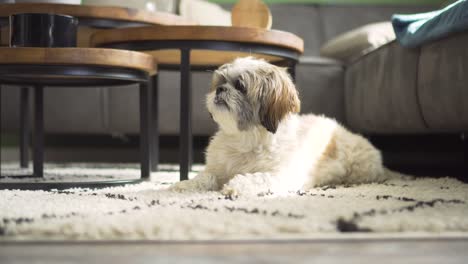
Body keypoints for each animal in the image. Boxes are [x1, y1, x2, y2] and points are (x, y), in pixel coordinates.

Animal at [170, 56, 396, 196]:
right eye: (219, 82)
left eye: (240, 87)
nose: (220, 90)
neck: (244, 138)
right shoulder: (216, 169)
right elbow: (205, 177)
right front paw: (185, 184)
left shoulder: (282, 176)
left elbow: (257, 178)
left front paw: (235, 186)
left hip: (361, 169)